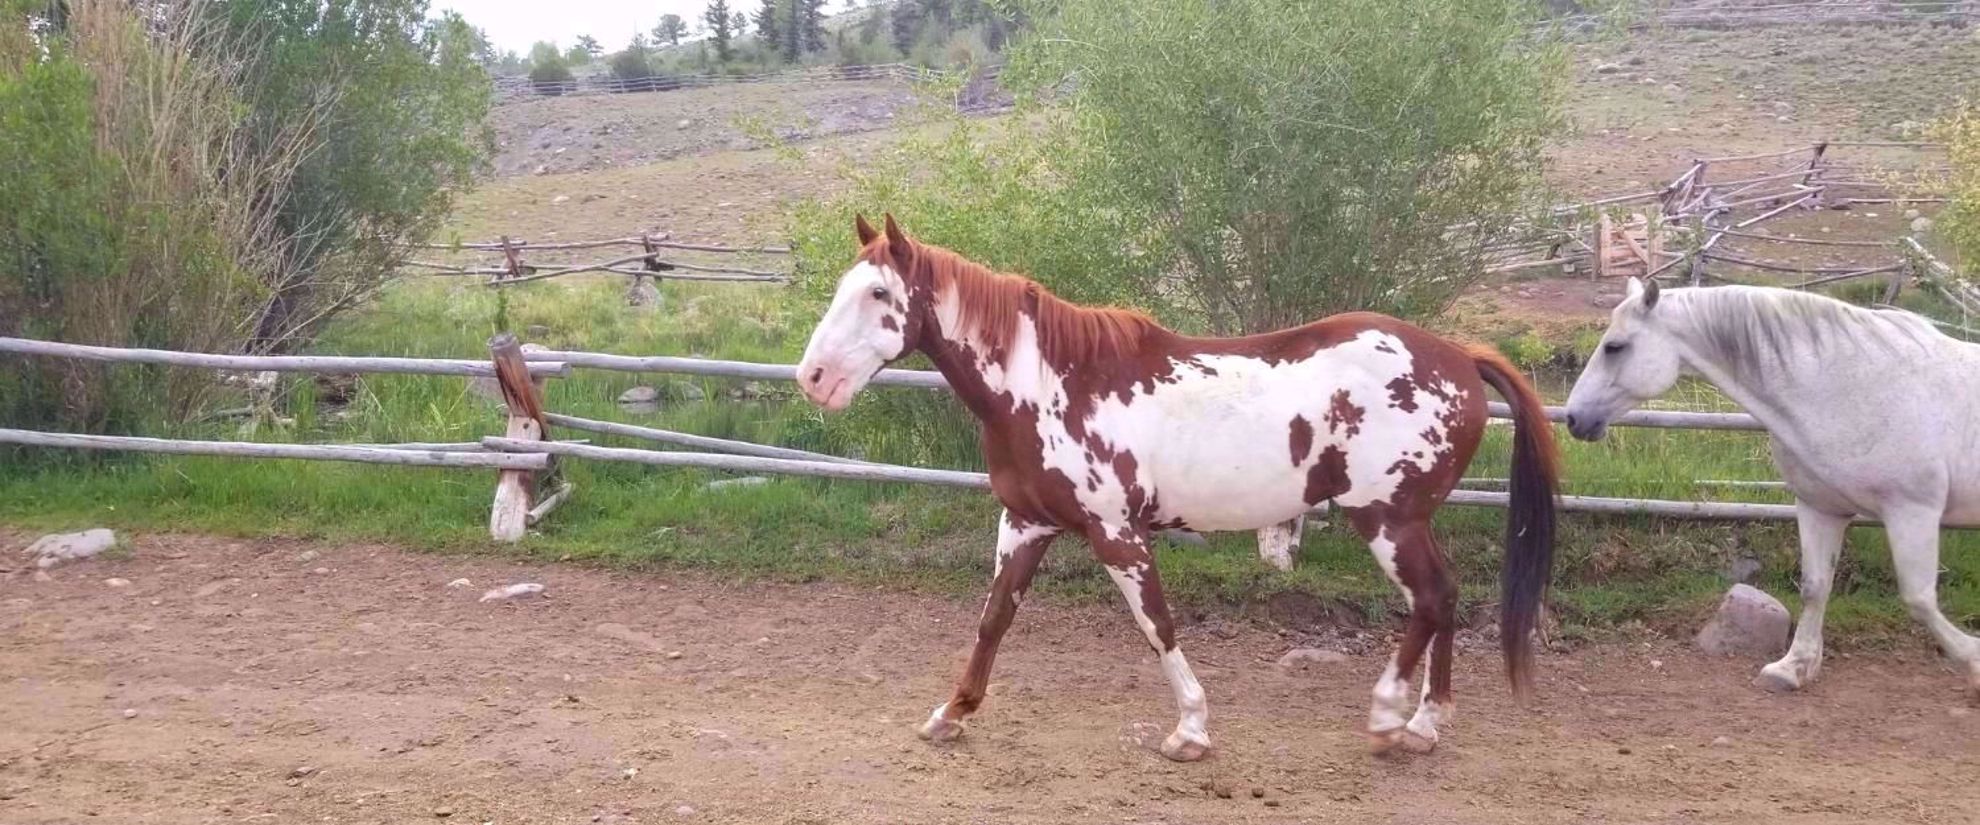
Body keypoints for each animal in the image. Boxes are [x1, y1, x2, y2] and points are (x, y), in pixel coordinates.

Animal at [792, 215, 1560, 755]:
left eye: (879, 292)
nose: (813, 378)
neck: (1047, 385)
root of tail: (1459, 356)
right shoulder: (1026, 524)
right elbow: (992, 620)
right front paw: (949, 715)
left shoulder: (1117, 533)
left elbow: (1156, 624)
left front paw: (1190, 729)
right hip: (1406, 521)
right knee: (1447, 598)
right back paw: (1426, 723)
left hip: (1386, 518)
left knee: (1430, 601)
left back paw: (1386, 716)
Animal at [1568, 278, 1972, 700]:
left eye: (1614, 347)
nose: (1574, 418)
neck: (1857, 387)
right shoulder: (1820, 508)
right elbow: (1815, 588)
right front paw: (1792, 668)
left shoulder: (1912, 512)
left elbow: (1919, 599)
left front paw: (1973, 660)